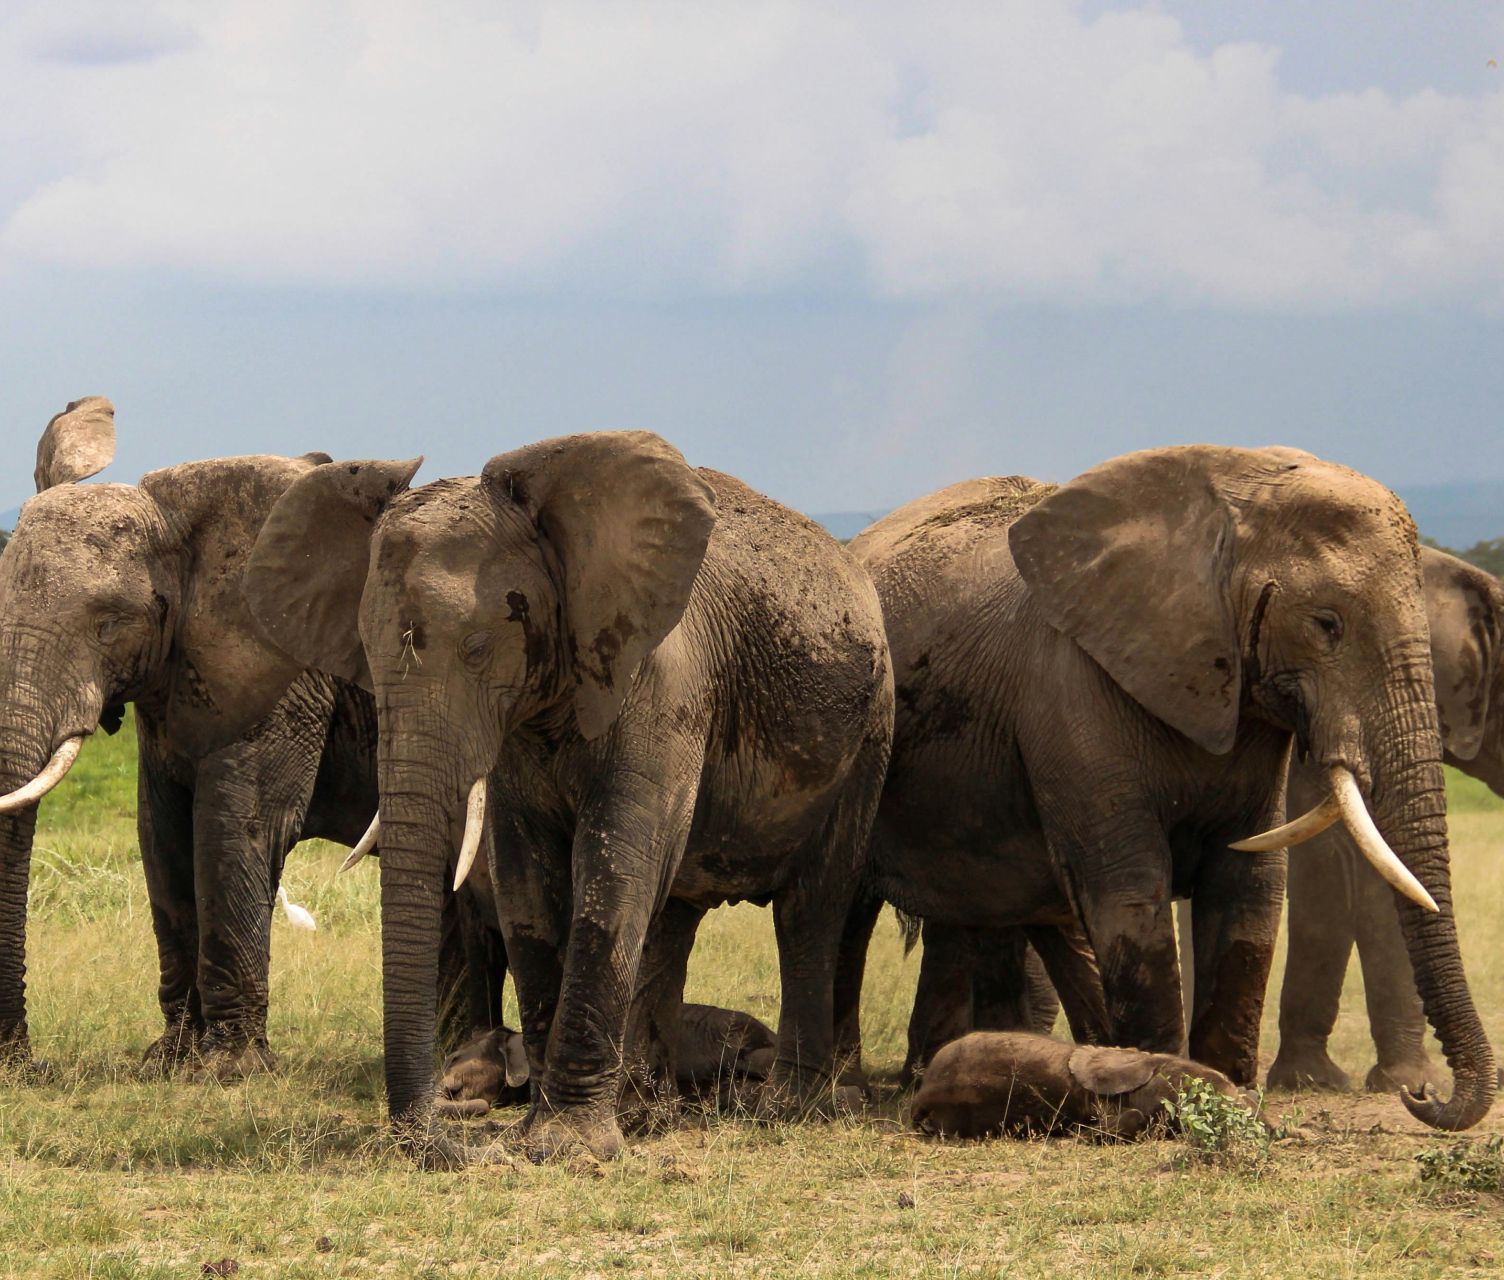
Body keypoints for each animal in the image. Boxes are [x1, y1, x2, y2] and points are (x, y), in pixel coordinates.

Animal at [0, 398, 499, 1077]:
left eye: (109, 623)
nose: (28, 1065)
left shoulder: (285, 666)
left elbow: (238, 823)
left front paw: (227, 1071)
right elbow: (160, 833)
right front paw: (169, 1062)